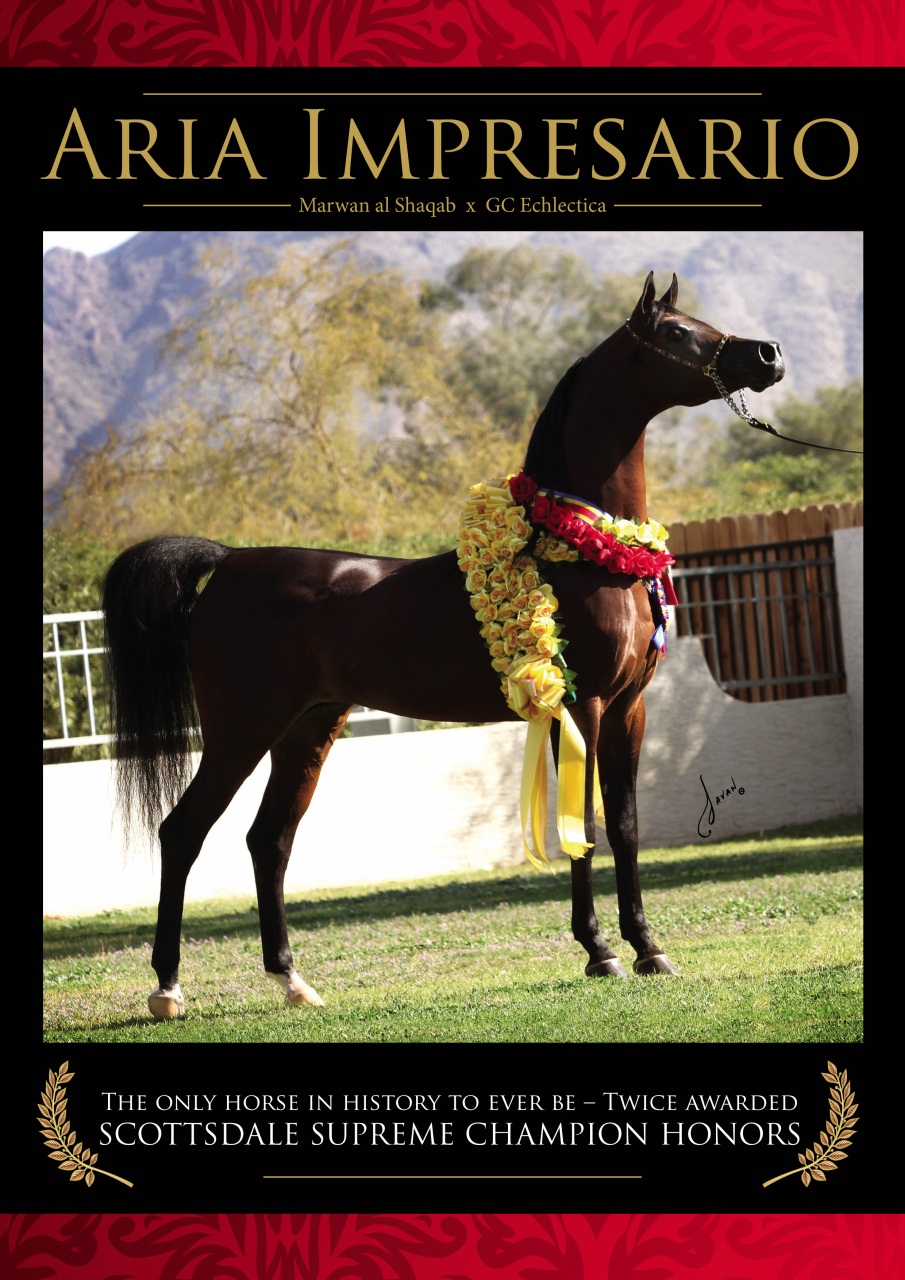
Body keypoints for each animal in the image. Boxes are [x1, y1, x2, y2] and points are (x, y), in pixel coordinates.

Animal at [101, 272, 784, 1020]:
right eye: (677, 333)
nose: (768, 354)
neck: (586, 549)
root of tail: (226, 562)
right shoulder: (581, 706)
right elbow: (582, 827)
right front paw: (599, 952)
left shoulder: (629, 708)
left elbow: (627, 826)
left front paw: (647, 948)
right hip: (241, 729)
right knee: (183, 832)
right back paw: (168, 987)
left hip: (307, 729)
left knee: (269, 840)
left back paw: (292, 981)